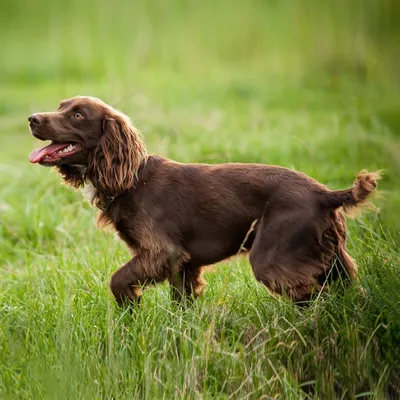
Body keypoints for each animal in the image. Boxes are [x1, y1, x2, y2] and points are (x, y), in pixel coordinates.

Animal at [28, 97, 378, 304]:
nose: (32, 118)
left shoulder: (162, 252)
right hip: (334, 260)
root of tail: (325, 194)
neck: (132, 179)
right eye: (60, 106)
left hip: (273, 258)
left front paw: (131, 305)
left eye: (77, 114)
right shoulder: (183, 266)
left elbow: (117, 279)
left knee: (316, 297)